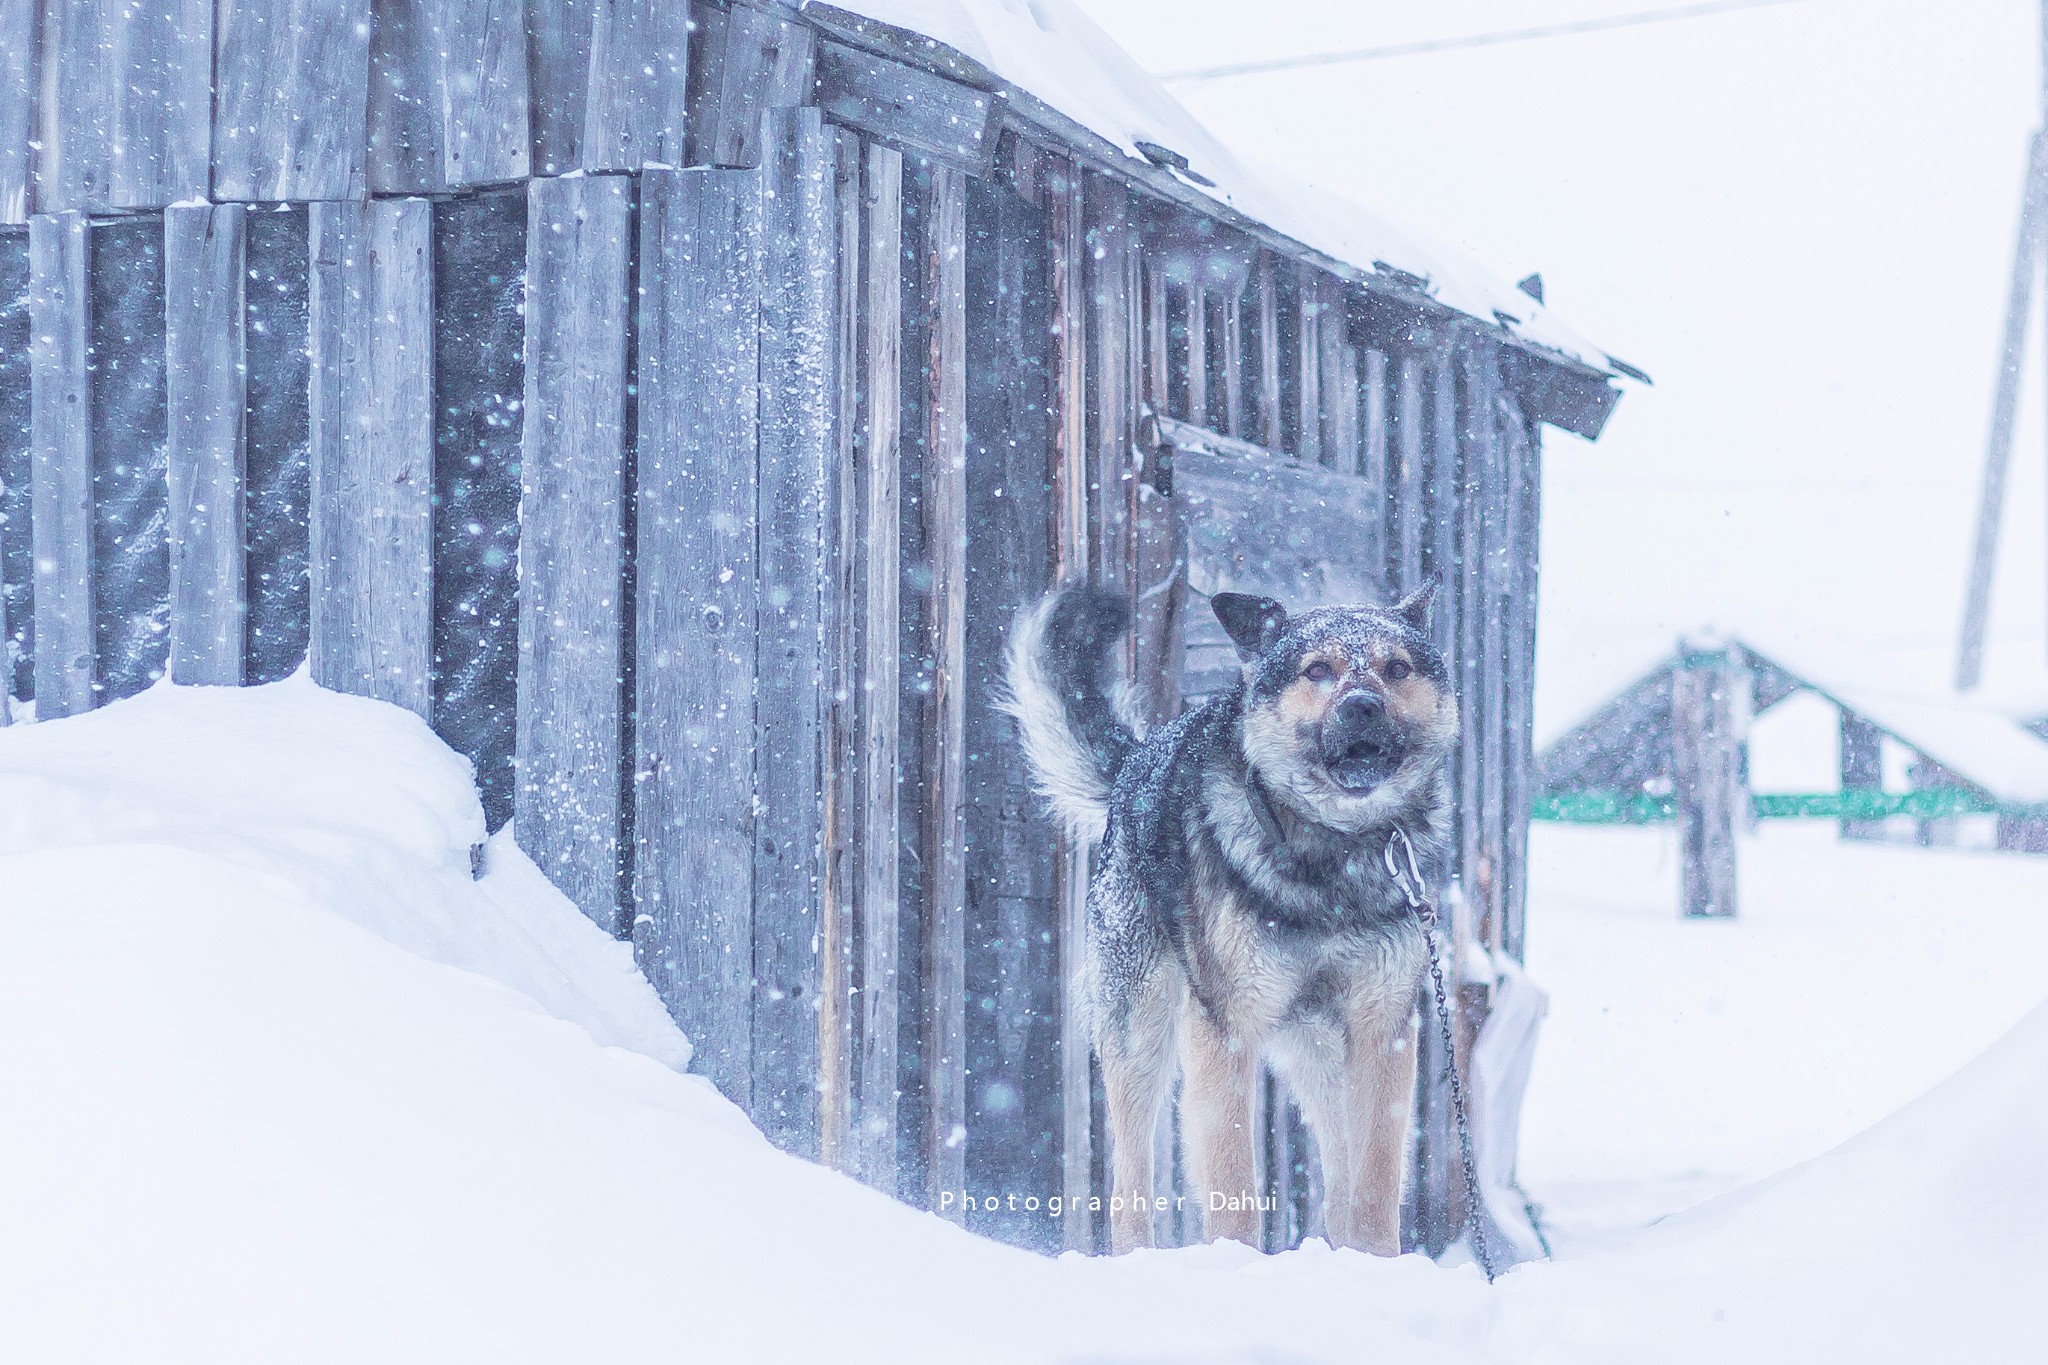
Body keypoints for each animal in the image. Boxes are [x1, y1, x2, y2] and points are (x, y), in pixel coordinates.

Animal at [1003, 581, 1458, 1252]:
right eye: (1317, 671)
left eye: (1396, 669)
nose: (1363, 707)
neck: (1334, 854)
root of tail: (1139, 760)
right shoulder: (1224, 1028)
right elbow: (1233, 1174)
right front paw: (1233, 1263)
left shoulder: (1383, 1030)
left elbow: (1375, 1182)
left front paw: (1376, 1264)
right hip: (1140, 1029)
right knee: (1129, 1178)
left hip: (1322, 1051)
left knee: (1340, 1173)